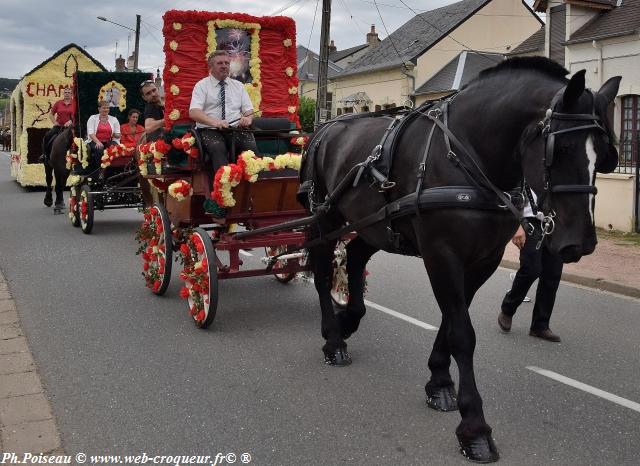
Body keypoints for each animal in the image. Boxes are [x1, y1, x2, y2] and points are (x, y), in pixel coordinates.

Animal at [300, 56, 620, 460]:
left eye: (604, 154)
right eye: (559, 150)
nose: (579, 242)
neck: (467, 155)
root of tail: (326, 128)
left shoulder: (483, 260)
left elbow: (452, 321)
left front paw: (439, 382)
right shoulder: (441, 254)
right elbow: (462, 333)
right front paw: (474, 428)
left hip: (375, 225)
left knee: (356, 257)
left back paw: (349, 320)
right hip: (326, 217)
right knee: (323, 269)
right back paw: (333, 340)